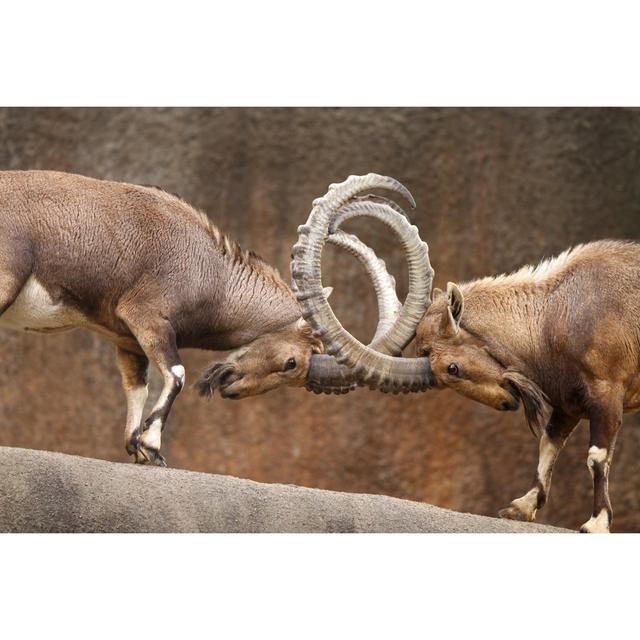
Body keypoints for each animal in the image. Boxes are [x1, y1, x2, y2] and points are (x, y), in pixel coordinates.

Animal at [0, 171, 436, 464]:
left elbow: (136, 386)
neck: (213, 274)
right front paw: (153, 447)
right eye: (291, 362)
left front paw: (135, 447)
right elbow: (177, 374)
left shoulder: (125, 338)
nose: (230, 386)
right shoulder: (148, 318)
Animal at [410, 242, 640, 532]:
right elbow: (548, 442)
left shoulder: (606, 394)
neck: (552, 317)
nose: (505, 402)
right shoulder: (569, 403)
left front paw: (596, 523)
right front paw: (521, 507)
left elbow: (597, 457)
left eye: (452, 368)